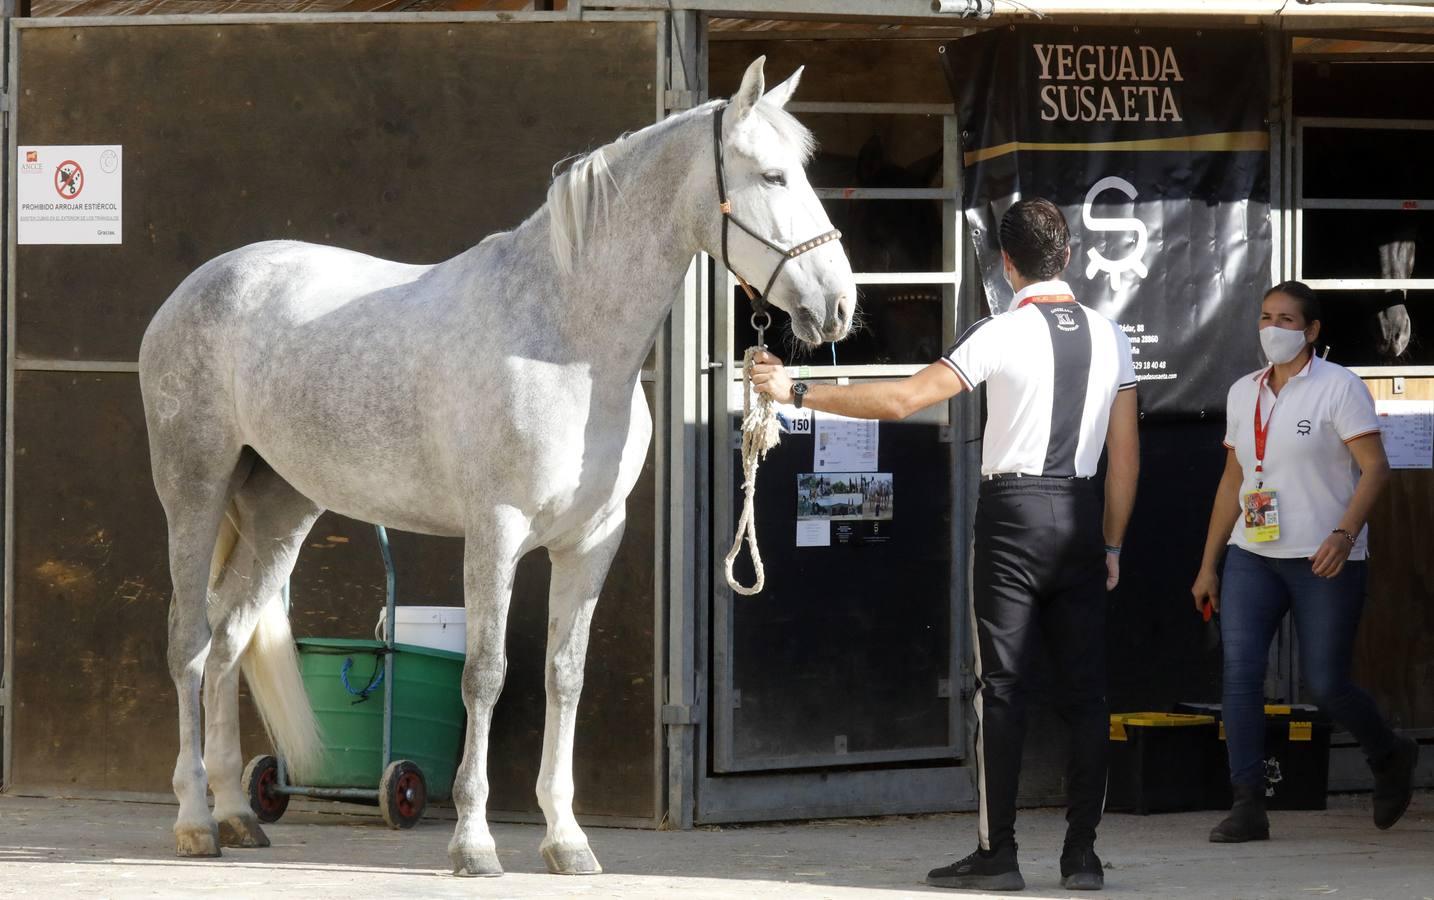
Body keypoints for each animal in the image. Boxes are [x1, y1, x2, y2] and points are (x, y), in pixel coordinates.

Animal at [136, 56, 848, 871]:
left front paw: (567, 841)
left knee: (227, 639)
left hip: (279, 510)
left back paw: (234, 814)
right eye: (772, 176)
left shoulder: (592, 540)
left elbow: (564, 678)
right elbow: (485, 676)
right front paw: (473, 843)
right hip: (195, 490)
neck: (565, 340)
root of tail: (199, 286)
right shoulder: (495, 534)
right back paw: (195, 818)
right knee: (189, 642)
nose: (839, 305)